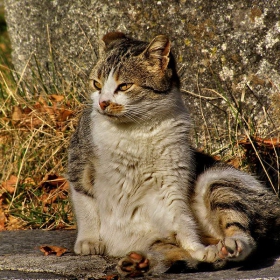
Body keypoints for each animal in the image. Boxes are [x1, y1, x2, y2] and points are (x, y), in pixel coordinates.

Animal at [68, 31, 280, 276]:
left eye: (124, 86)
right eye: (96, 84)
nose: (103, 103)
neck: (135, 130)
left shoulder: (170, 180)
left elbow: (180, 219)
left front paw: (197, 249)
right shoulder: (79, 165)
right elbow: (86, 207)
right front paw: (90, 241)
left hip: (218, 182)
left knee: (244, 237)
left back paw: (226, 247)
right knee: (170, 250)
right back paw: (138, 262)